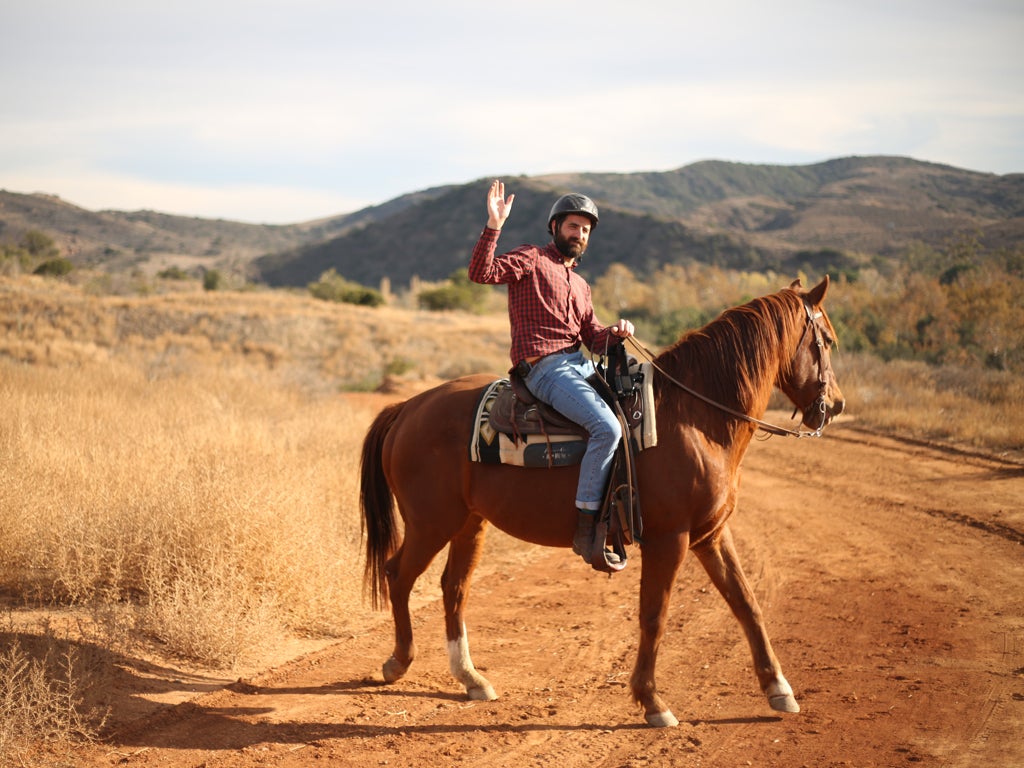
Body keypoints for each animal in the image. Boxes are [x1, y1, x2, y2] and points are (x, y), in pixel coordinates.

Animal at [364, 276, 843, 729]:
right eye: (827, 340)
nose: (836, 405)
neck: (695, 418)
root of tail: (408, 407)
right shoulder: (670, 539)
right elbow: (655, 615)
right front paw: (652, 702)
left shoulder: (710, 535)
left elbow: (746, 604)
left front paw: (779, 689)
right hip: (431, 523)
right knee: (398, 574)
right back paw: (398, 662)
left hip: (469, 523)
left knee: (453, 587)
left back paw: (470, 678)